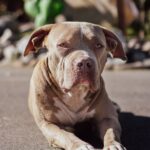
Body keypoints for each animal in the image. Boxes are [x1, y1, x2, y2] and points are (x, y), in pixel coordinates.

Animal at [24, 21, 126, 149]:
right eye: (62, 45)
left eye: (98, 45)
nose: (85, 62)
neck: (75, 93)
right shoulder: (49, 124)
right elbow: (65, 135)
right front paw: (81, 145)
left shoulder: (107, 118)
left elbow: (111, 132)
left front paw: (113, 145)